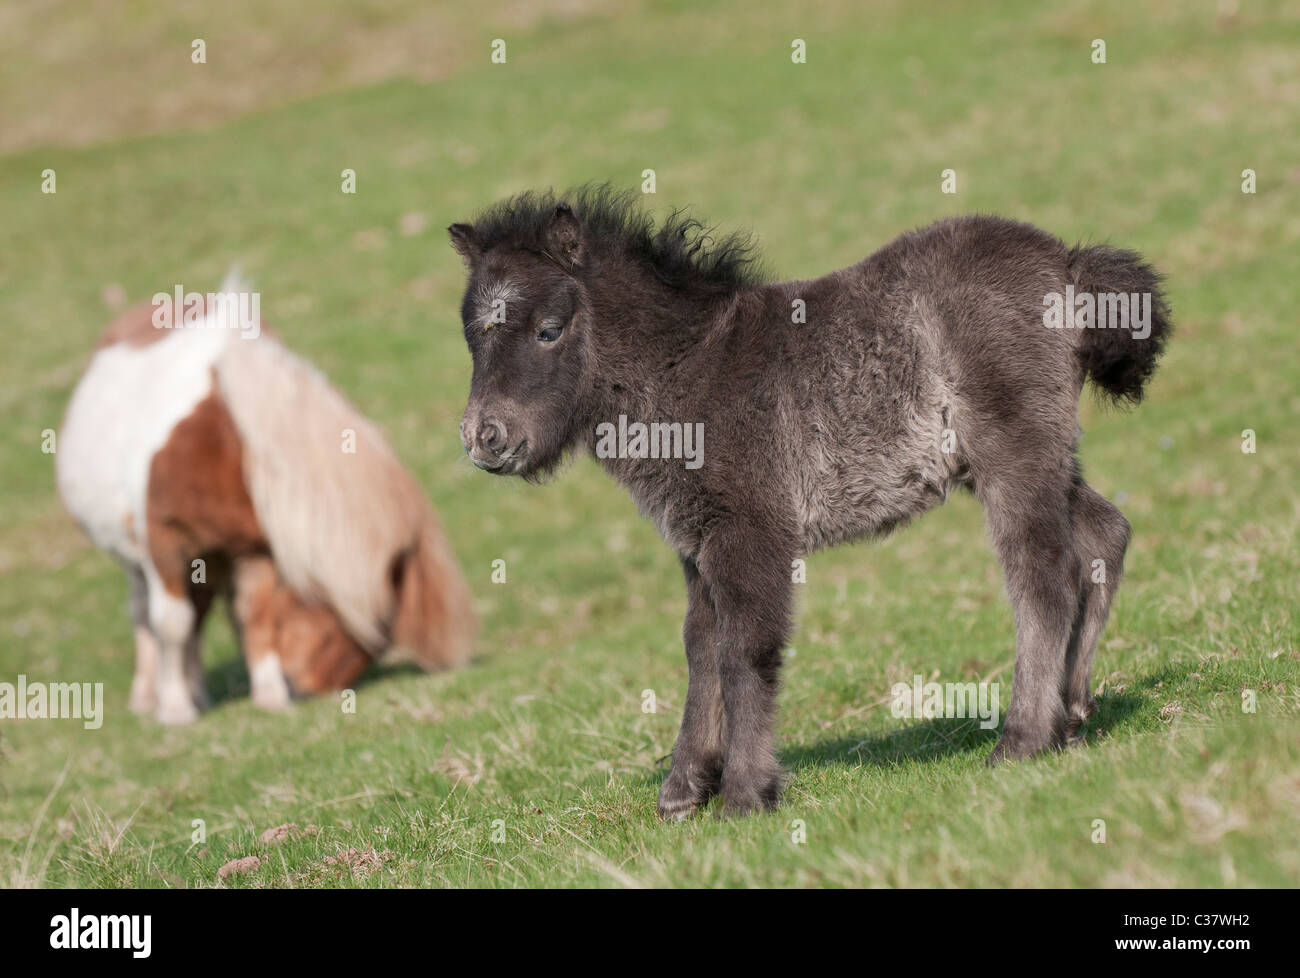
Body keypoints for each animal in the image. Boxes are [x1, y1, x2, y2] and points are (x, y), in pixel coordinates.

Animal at [57, 278, 473, 723]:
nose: (307, 690)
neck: (225, 446)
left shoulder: (253, 550)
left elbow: (255, 618)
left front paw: (269, 696)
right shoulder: (164, 544)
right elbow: (171, 623)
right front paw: (174, 709)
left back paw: (198, 692)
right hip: (139, 556)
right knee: (147, 613)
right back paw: (149, 696)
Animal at [452, 184, 1175, 816]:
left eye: (549, 329)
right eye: (471, 334)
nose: (485, 438)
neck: (685, 372)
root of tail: (1068, 262)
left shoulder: (752, 532)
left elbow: (746, 649)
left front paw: (746, 794)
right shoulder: (696, 541)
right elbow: (701, 647)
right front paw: (685, 789)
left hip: (1012, 449)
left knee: (1043, 573)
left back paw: (1022, 739)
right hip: (1028, 456)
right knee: (1103, 535)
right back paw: (1071, 713)